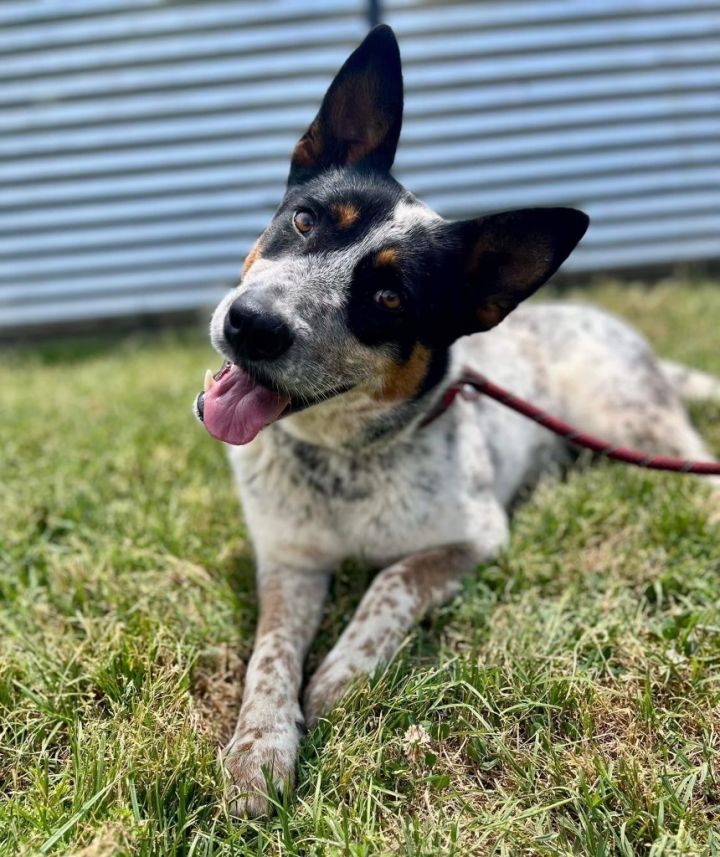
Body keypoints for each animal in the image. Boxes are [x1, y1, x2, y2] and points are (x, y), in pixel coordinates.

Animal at [193, 25, 720, 816]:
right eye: (305, 220)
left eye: (389, 299)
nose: (249, 323)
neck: (345, 459)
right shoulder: (289, 561)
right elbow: (270, 653)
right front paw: (259, 747)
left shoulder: (473, 538)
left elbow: (390, 584)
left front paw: (340, 678)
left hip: (635, 422)